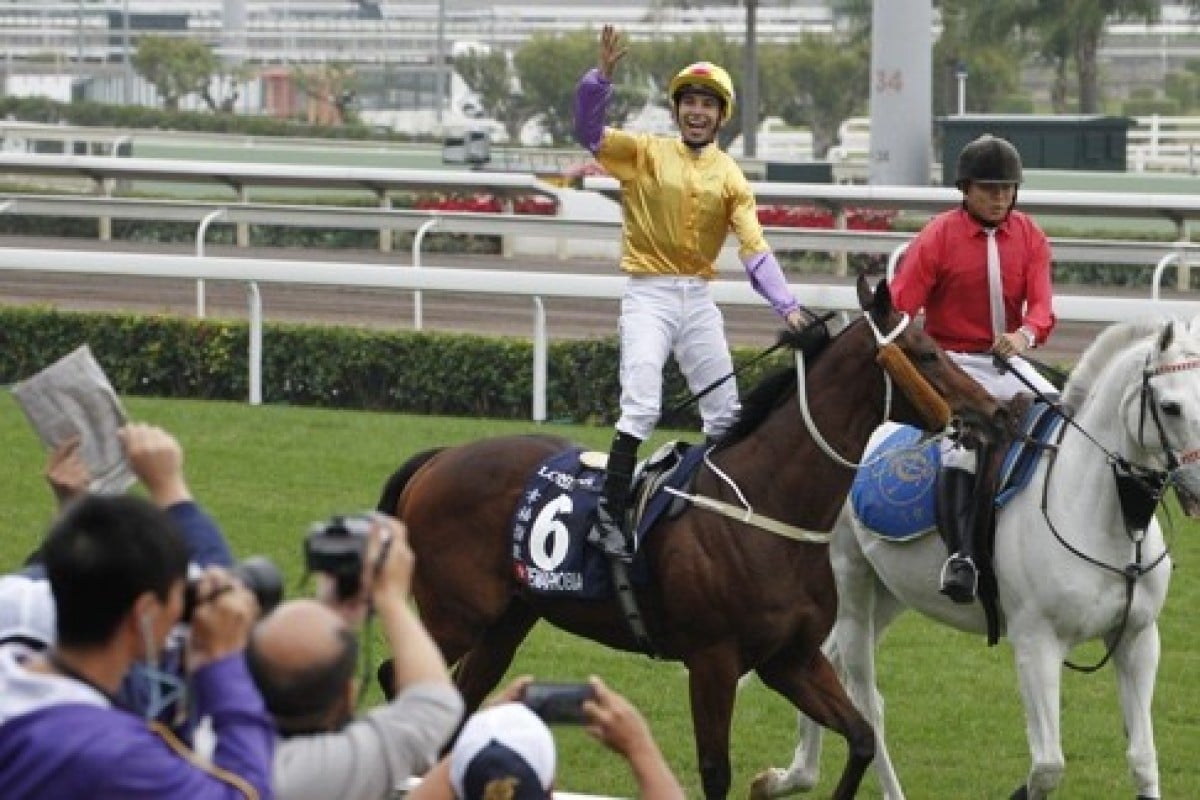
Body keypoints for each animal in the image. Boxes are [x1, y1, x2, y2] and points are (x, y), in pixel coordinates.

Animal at [753, 319, 1200, 800]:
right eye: (1170, 407)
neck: (1105, 521)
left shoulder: (1137, 639)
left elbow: (1142, 759)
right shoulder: (1036, 644)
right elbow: (1047, 767)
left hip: (889, 594)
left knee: (828, 659)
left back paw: (793, 776)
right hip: (851, 582)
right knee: (866, 697)